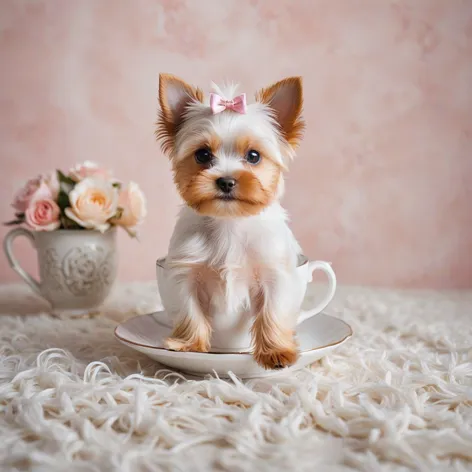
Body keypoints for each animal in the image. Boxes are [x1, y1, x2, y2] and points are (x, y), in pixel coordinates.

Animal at [157, 73, 304, 368]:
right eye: (203, 155)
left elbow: (272, 311)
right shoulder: (186, 273)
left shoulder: (274, 272)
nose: (226, 181)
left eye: (253, 156)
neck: (229, 221)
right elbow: (190, 309)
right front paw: (188, 344)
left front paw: (275, 351)